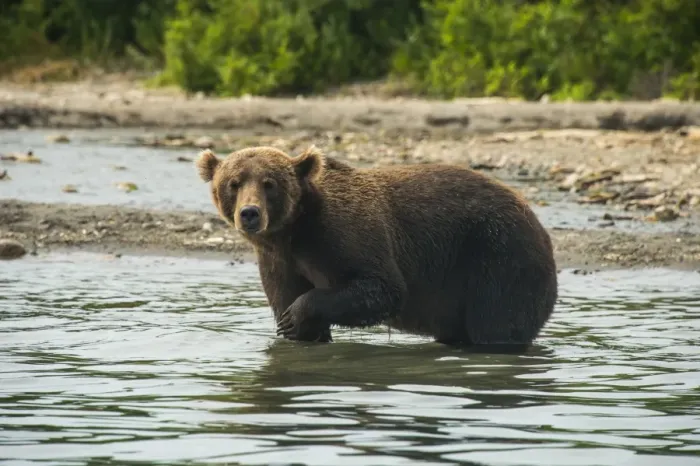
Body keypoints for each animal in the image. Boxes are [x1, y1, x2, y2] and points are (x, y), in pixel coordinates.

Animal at [195, 145, 558, 350]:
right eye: (233, 183)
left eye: (269, 183)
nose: (250, 213)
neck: (294, 231)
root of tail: (540, 226)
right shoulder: (279, 260)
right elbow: (287, 298)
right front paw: (298, 328)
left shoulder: (344, 233)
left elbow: (382, 288)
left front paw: (295, 316)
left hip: (498, 256)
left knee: (498, 321)